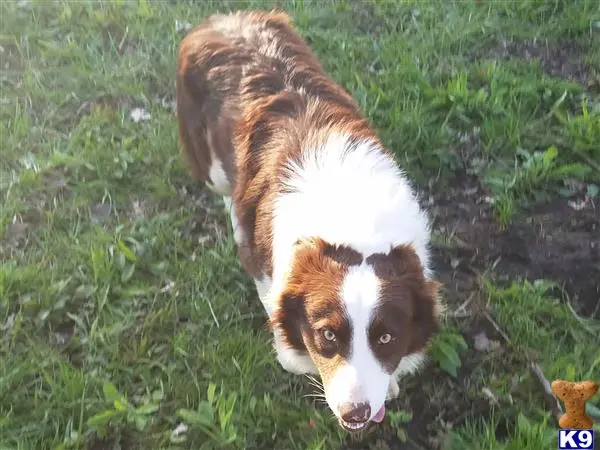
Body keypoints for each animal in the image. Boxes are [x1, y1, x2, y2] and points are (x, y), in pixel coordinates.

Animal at [176, 8, 442, 430]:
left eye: (386, 337)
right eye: (328, 335)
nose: (356, 414)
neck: (352, 217)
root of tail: (225, 16)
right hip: (209, 164)